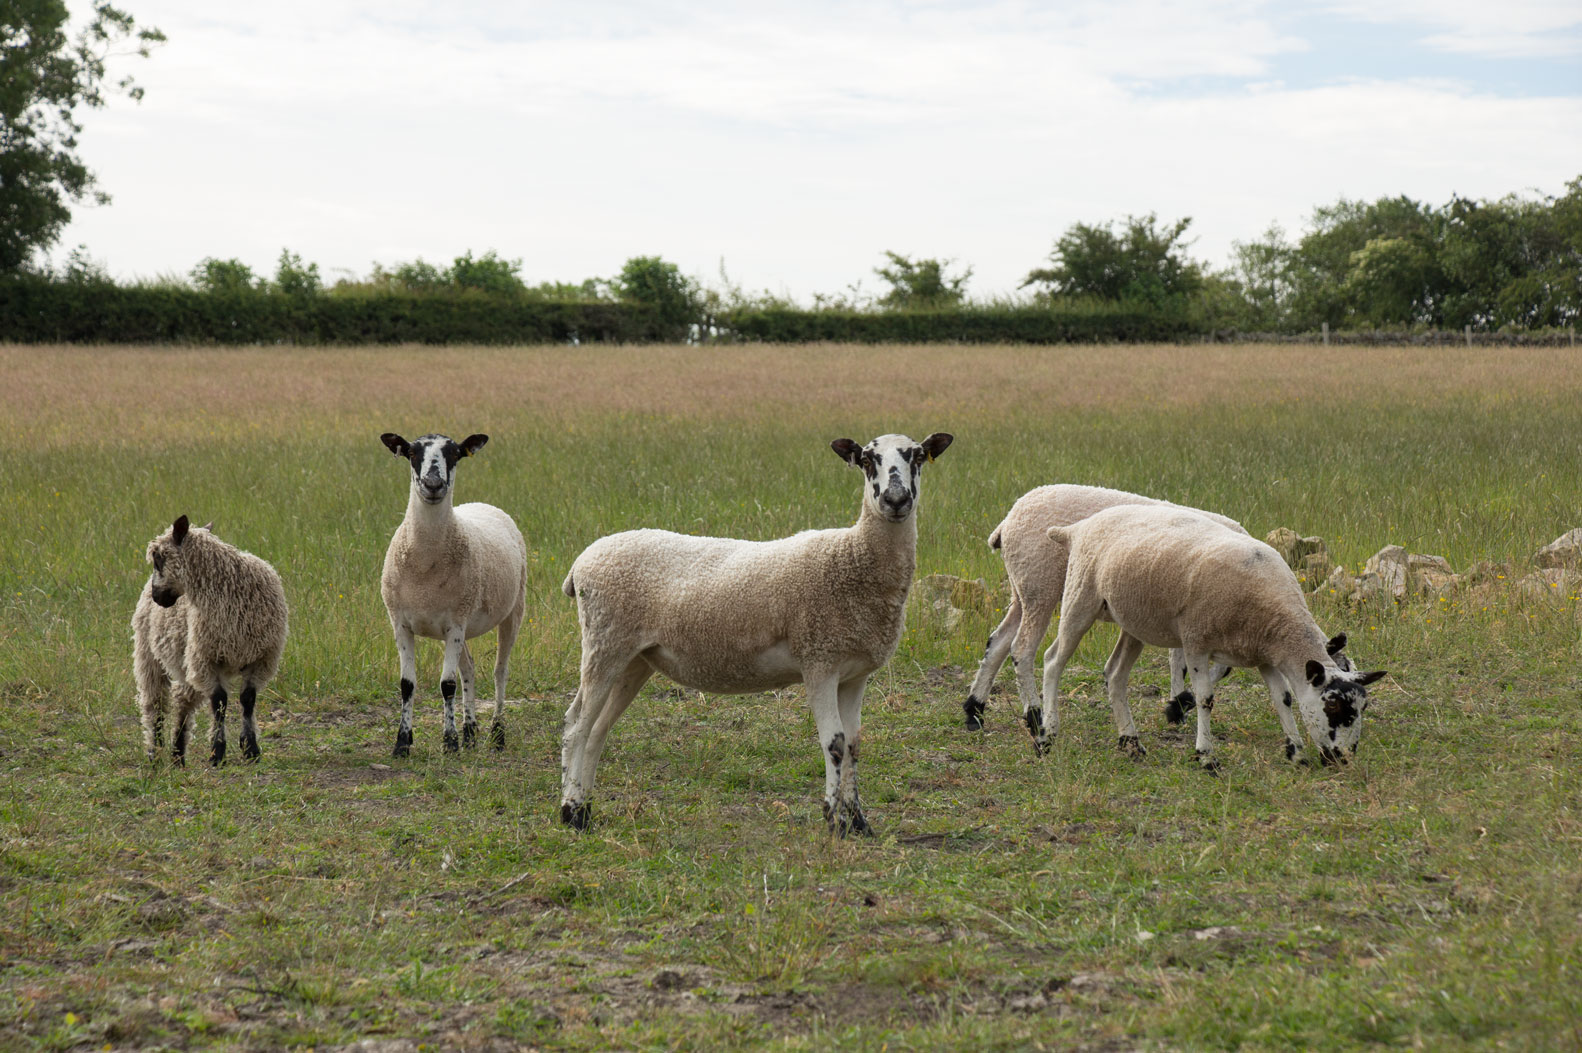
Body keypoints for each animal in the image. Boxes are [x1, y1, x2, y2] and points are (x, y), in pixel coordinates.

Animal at [132, 515, 289, 766]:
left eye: (158, 558)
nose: (158, 598)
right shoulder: (207, 659)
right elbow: (219, 702)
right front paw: (217, 752)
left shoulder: (261, 658)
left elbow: (248, 699)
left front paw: (251, 749)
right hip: (149, 655)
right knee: (154, 705)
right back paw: (155, 753)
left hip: (186, 660)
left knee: (183, 702)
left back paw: (177, 755)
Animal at [380, 432, 527, 757]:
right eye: (411, 452)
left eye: (455, 454)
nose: (433, 484)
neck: (424, 566)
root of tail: (481, 503)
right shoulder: (401, 623)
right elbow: (407, 684)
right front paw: (402, 743)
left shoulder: (455, 624)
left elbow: (447, 685)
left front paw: (449, 742)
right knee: (469, 669)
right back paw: (470, 732)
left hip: (512, 610)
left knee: (500, 672)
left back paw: (497, 734)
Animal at [558, 431, 953, 835]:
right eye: (868, 460)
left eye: (917, 456)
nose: (896, 500)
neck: (854, 557)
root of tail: (581, 563)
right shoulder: (819, 662)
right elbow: (835, 744)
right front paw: (833, 819)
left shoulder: (855, 674)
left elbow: (855, 746)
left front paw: (858, 821)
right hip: (604, 642)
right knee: (576, 727)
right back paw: (571, 812)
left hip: (635, 658)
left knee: (597, 731)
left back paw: (585, 809)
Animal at [1030, 504, 1384, 768]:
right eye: (1334, 708)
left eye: (1363, 708)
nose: (1344, 759)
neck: (1279, 621)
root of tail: (1076, 528)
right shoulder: (1196, 641)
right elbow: (1205, 699)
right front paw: (1206, 755)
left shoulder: (1265, 656)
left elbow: (1282, 698)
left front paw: (1296, 752)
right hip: (1080, 596)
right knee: (1052, 661)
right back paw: (1046, 736)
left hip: (1133, 621)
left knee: (1115, 674)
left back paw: (1131, 743)